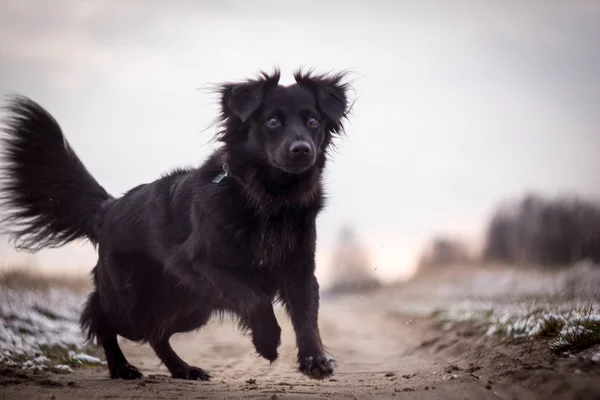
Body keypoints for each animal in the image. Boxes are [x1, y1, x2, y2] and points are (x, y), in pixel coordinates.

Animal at [0, 68, 352, 382]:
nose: (302, 150)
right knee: (103, 319)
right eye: (272, 121)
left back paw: (183, 369)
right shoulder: (196, 262)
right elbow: (255, 298)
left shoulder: (300, 269)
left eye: (313, 122)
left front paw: (315, 360)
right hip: (136, 302)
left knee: (157, 333)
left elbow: (307, 317)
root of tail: (109, 208)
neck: (269, 200)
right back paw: (122, 367)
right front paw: (267, 341)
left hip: (192, 306)